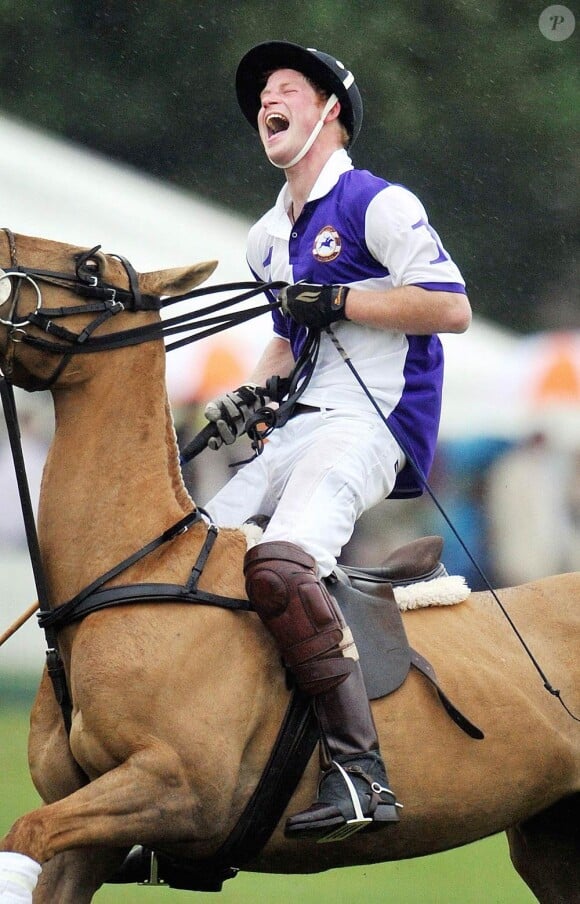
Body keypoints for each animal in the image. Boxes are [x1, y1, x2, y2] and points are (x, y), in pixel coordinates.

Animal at [0, 233, 576, 904]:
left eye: (89, 268)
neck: (133, 567)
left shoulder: (179, 789)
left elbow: (27, 831)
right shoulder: (88, 832)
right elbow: (37, 841)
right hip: (551, 836)